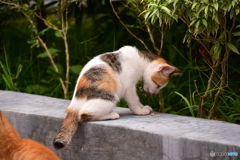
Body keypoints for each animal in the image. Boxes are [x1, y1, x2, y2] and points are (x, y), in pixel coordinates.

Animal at [54, 45, 182, 149]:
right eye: (158, 85)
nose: (154, 93)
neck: (141, 59)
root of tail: (73, 106)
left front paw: (143, 107)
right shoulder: (128, 85)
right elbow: (134, 99)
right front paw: (140, 110)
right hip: (109, 97)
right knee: (84, 115)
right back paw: (111, 115)